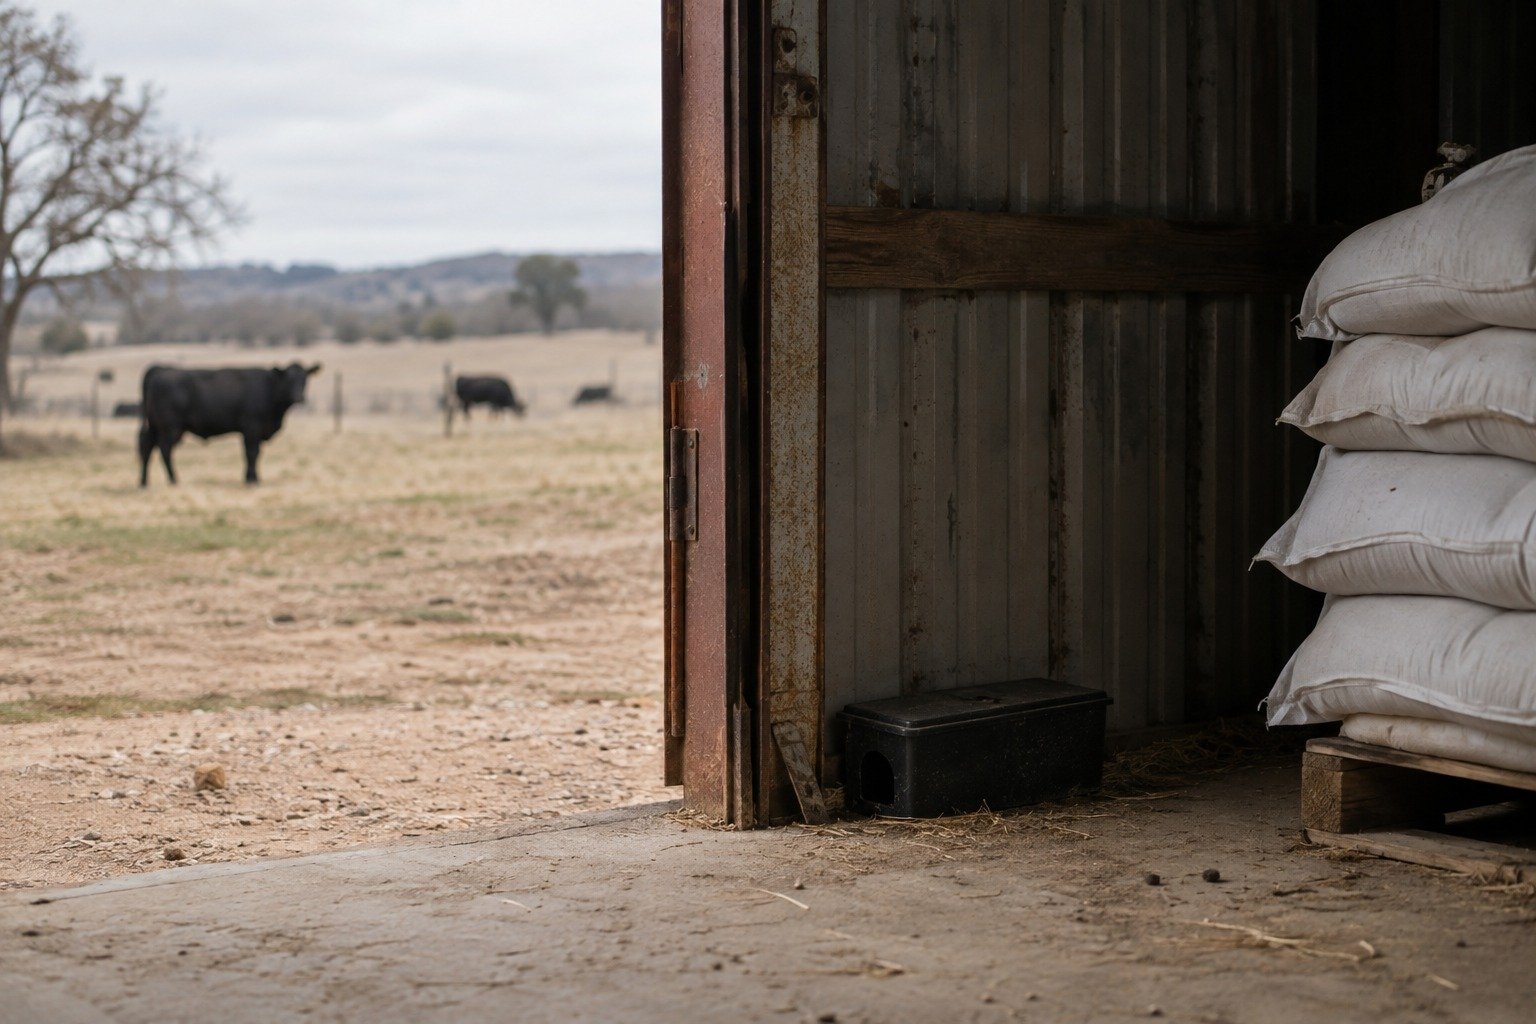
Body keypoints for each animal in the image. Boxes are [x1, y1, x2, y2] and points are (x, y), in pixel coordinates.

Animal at [138, 363, 321, 487]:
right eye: (289, 379)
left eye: (305, 379)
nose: (299, 397)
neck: (270, 387)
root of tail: (159, 370)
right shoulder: (251, 428)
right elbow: (252, 453)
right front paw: (252, 480)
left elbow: (253, 454)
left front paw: (251, 477)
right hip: (171, 428)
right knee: (164, 450)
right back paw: (174, 479)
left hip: (155, 426)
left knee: (147, 447)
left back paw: (144, 482)